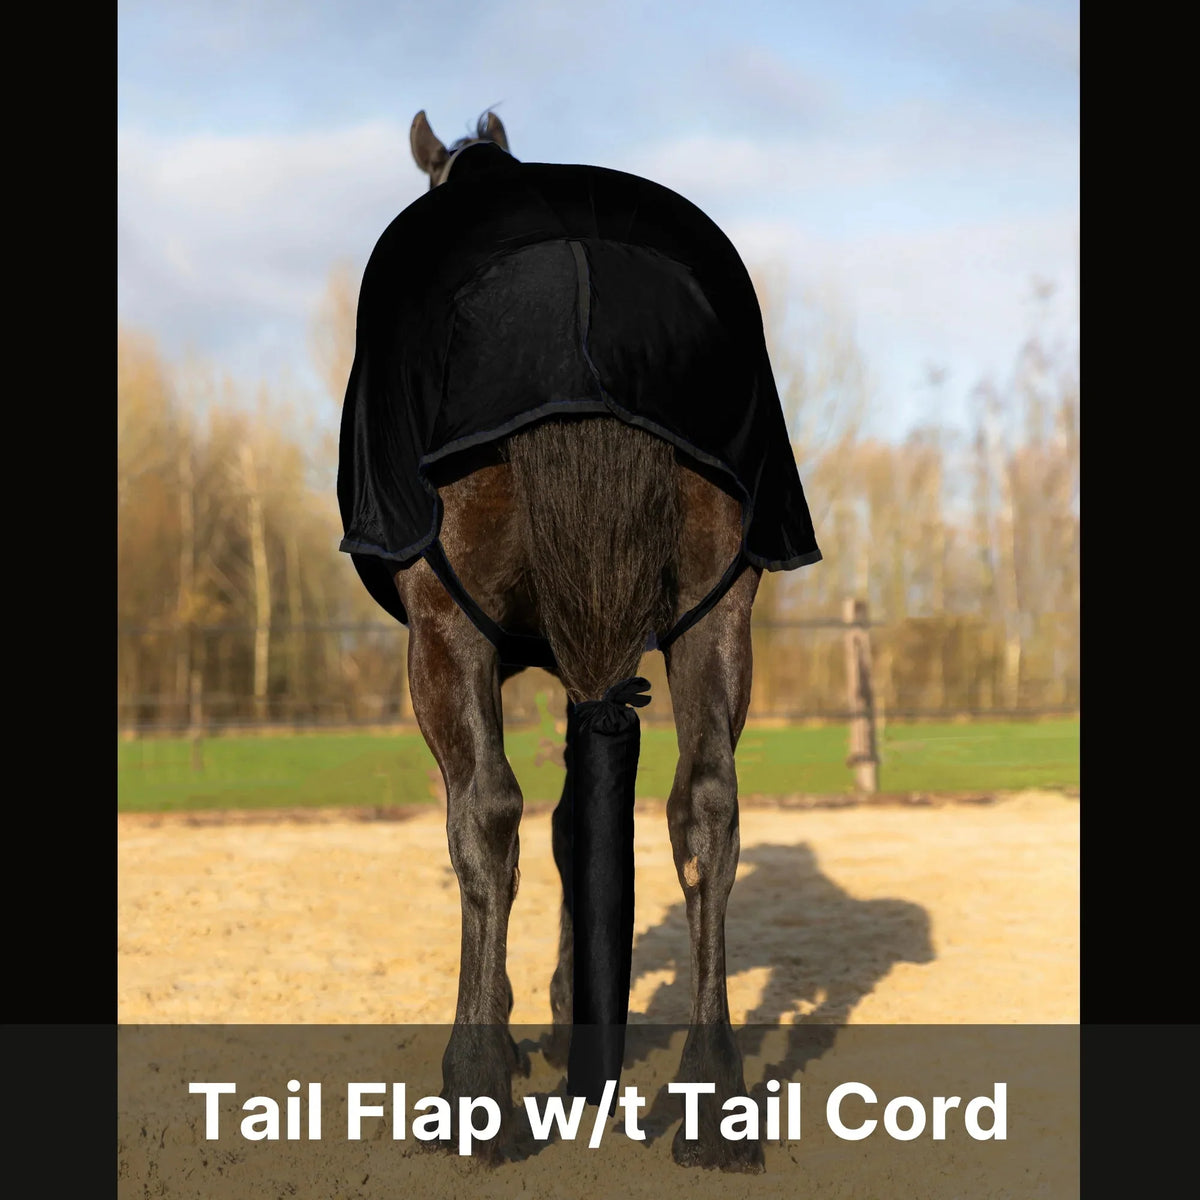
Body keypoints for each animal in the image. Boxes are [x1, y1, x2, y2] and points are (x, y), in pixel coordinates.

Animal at [338, 109, 821, 1170]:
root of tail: (587, 284)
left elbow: (509, 827)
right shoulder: (596, 663)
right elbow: (577, 826)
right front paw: (572, 1021)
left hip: (444, 633)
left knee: (483, 814)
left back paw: (474, 1091)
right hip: (718, 615)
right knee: (707, 810)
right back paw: (712, 1101)